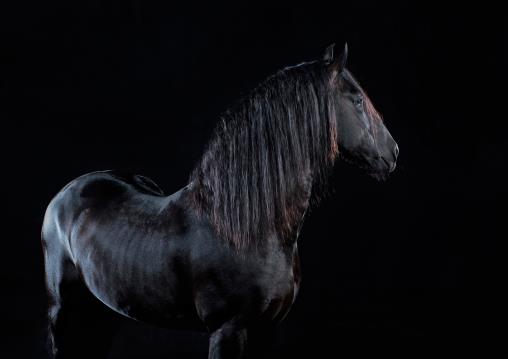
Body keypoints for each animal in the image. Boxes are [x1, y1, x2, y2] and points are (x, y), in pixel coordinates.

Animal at [42, 43, 396, 358]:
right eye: (357, 100)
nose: (393, 153)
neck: (247, 229)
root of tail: (66, 193)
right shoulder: (227, 330)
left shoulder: (267, 330)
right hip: (65, 310)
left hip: (102, 311)